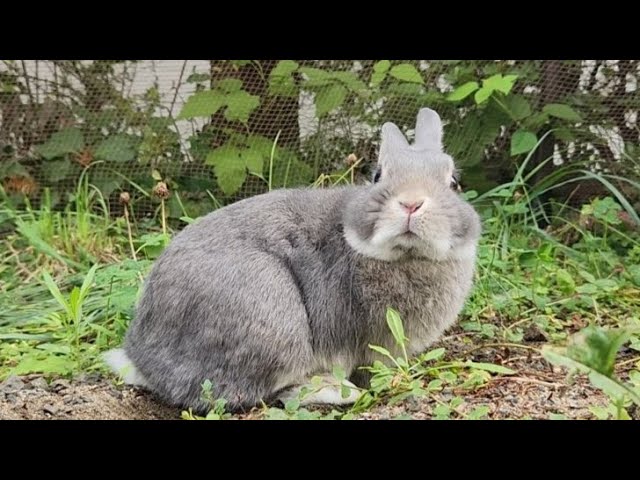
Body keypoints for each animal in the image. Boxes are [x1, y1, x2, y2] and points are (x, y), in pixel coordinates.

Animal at [105, 108, 482, 412]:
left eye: (453, 182)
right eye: (378, 175)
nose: (411, 203)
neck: (405, 255)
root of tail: (141, 359)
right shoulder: (375, 343)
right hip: (273, 317)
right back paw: (336, 391)